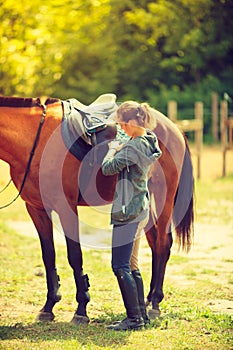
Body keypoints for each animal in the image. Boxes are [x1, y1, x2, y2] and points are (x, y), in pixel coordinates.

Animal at [0, 94, 193, 324]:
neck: (34, 140)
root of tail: (174, 128)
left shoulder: (66, 207)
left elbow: (75, 257)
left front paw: (81, 310)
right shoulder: (36, 209)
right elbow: (48, 256)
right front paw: (48, 307)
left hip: (164, 194)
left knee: (163, 243)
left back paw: (155, 302)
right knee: (154, 241)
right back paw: (147, 300)